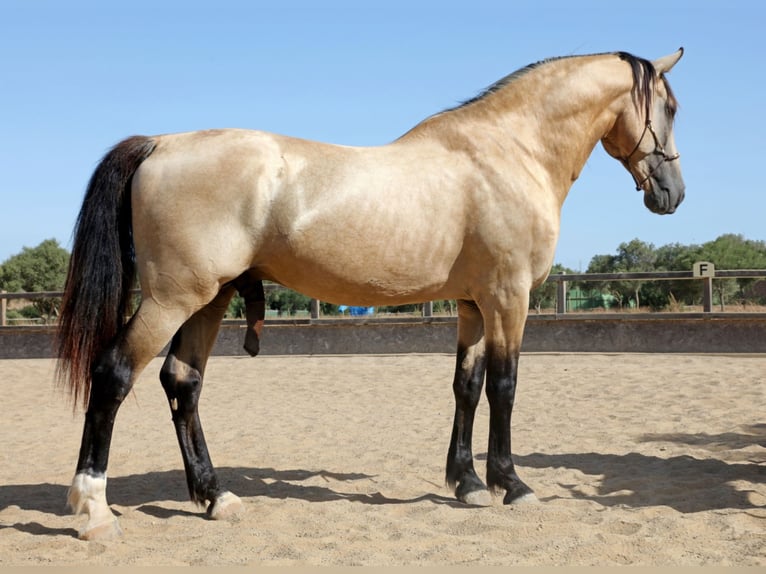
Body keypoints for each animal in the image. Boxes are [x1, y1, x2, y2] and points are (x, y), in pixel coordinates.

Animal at [57, 48, 688, 540]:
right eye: (672, 108)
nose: (672, 193)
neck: (509, 151)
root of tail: (160, 144)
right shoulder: (508, 299)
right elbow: (504, 388)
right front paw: (511, 483)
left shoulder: (472, 304)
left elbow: (467, 386)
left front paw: (466, 483)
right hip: (172, 300)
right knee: (114, 374)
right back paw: (94, 509)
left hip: (208, 299)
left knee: (182, 383)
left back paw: (216, 496)